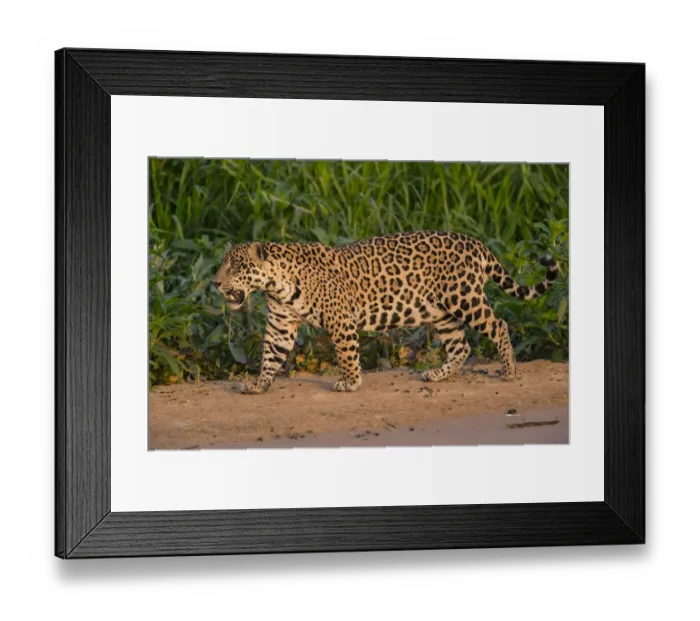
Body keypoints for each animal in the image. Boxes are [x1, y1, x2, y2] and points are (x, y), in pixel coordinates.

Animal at [213, 231, 559, 394]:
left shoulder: (341, 319)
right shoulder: (281, 324)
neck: (277, 284)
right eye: (223, 264)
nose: (215, 283)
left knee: (499, 324)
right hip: (440, 310)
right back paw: (437, 375)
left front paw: (350, 383)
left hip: (463, 298)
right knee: (461, 345)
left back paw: (509, 371)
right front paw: (259, 385)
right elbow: (270, 355)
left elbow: (347, 353)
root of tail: (474, 242)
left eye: (237, 266)